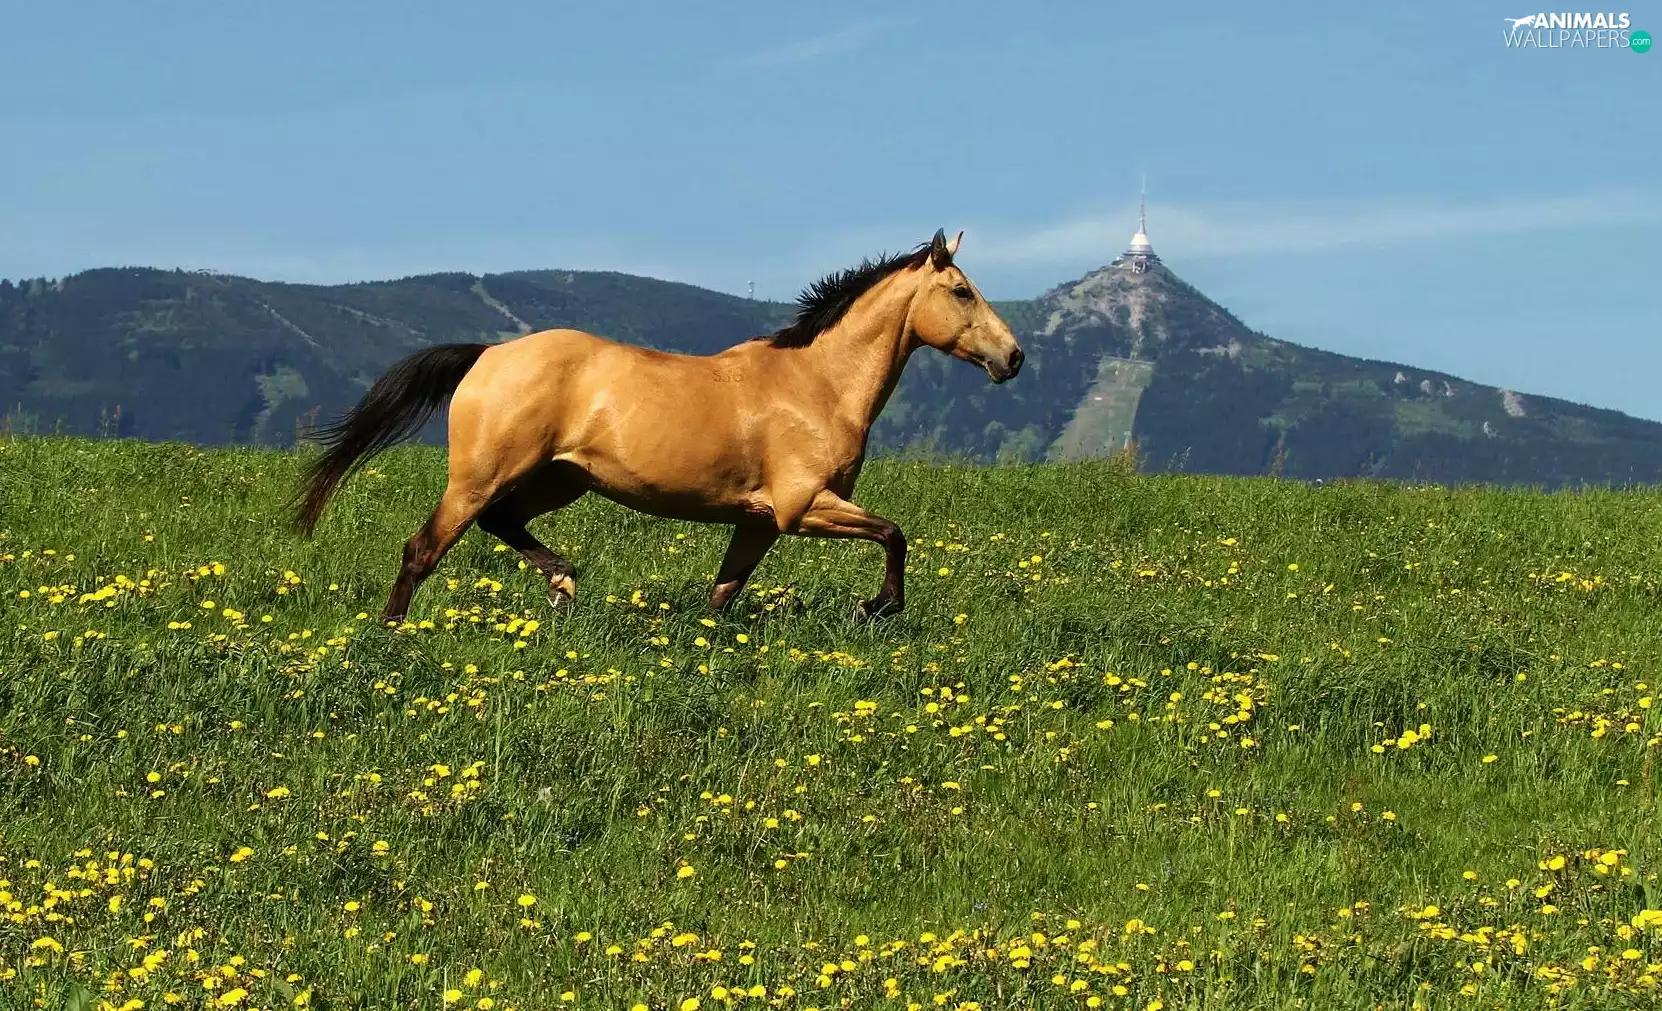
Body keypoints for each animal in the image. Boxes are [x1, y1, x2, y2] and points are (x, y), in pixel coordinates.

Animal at [292, 228, 1024, 623]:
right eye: (962, 291)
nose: (1013, 357)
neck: (816, 386)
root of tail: (487, 354)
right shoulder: (802, 506)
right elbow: (895, 533)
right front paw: (878, 607)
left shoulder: (759, 519)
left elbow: (723, 595)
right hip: (481, 475)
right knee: (423, 548)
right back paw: (393, 632)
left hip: (558, 480)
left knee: (503, 524)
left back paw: (563, 582)